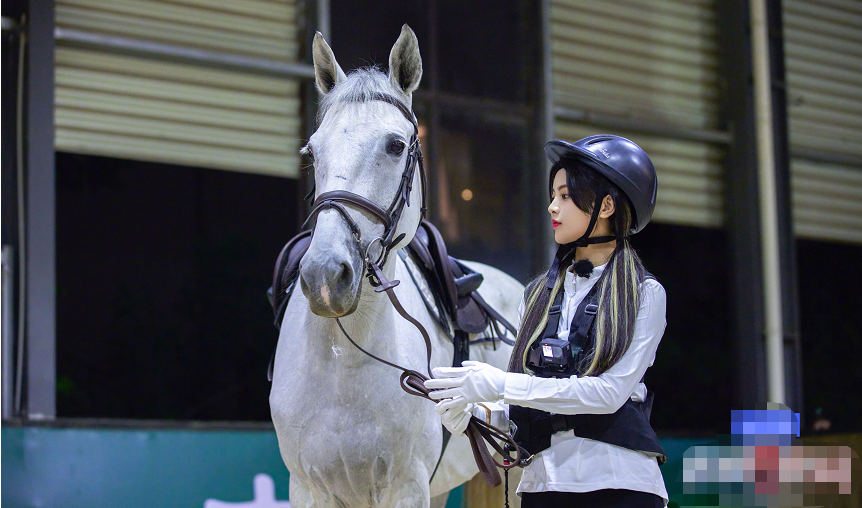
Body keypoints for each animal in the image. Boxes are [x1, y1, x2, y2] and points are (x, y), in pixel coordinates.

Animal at [270, 26, 524, 508]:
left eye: (395, 145)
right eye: (312, 150)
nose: (325, 276)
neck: (343, 364)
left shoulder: (406, 487)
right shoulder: (309, 488)